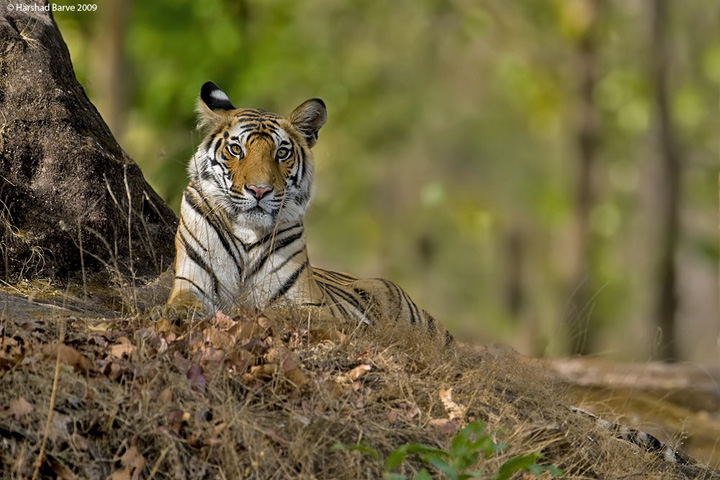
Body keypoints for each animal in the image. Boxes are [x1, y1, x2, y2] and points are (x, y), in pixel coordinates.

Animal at [167, 81, 450, 345]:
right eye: (236, 150)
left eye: (281, 153)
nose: (260, 190)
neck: (247, 234)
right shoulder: (191, 285)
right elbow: (182, 308)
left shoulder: (312, 305)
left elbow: (278, 313)